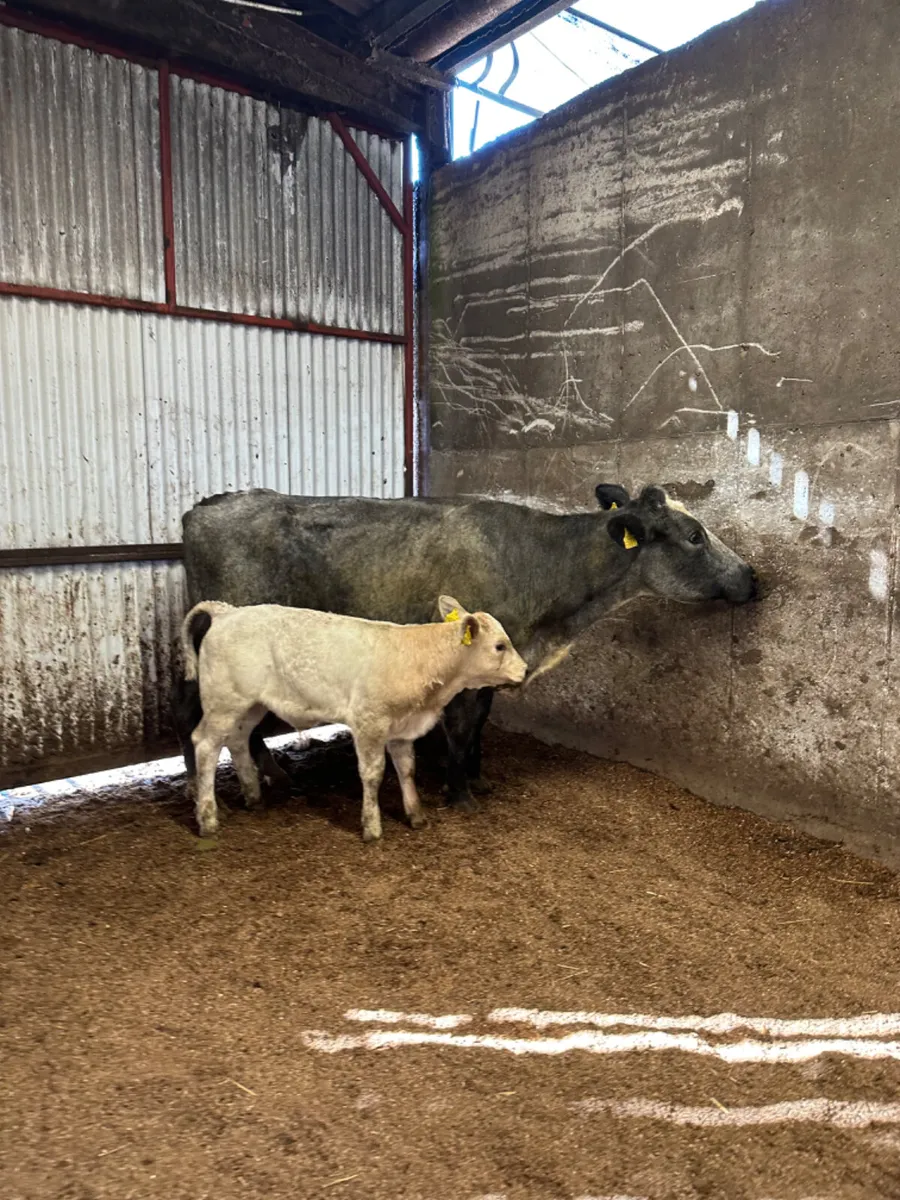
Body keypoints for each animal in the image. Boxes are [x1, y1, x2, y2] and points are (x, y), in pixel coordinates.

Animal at [173, 482, 758, 812]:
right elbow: (462, 723)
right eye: (695, 535)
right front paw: (460, 792)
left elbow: (479, 723)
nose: (752, 575)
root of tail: (208, 505)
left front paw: (475, 775)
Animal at [181, 597, 526, 841]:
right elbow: (373, 774)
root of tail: (227, 612)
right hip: (223, 701)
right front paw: (372, 827)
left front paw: (416, 815)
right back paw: (208, 818)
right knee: (205, 745)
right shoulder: (369, 722)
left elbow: (407, 769)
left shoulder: (401, 728)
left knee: (238, 740)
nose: (524, 671)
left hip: (248, 705)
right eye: (499, 646)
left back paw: (253, 797)